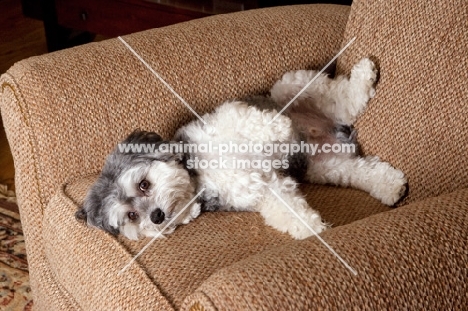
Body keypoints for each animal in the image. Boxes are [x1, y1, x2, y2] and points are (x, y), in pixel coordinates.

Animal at [76, 58, 406, 241]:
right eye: (132, 216)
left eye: (143, 184)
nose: (156, 217)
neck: (199, 176)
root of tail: (330, 129)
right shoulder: (264, 190)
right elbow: (286, 212)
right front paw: (315, 231)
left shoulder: (226, 116)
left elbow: (252, 123)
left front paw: (278, 128)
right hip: (322, 166)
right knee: (359, 170)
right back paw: (391, 186)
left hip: (290, 87)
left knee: (343, 98)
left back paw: (363, 75)